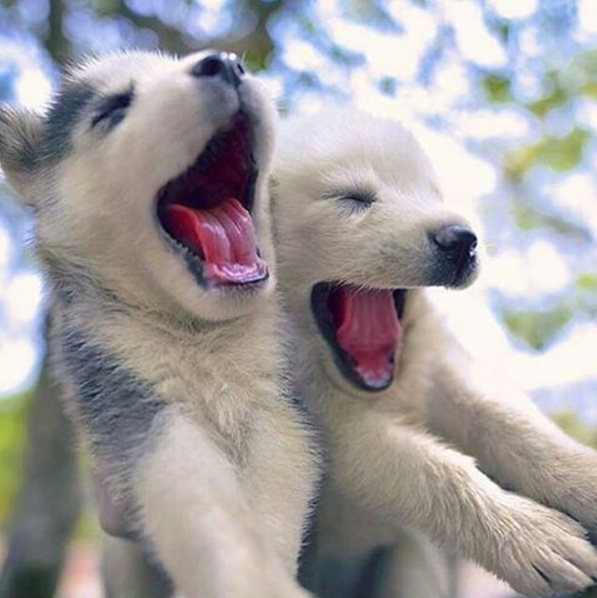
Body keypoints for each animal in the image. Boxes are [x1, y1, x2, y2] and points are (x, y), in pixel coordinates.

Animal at [0, 50, 320, 598]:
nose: (226, 63)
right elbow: (203, 504)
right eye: (113, 108)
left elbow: (275, 491)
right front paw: (246, 575)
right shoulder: (134, 403)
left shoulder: (277, 405)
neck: (199, 333)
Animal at [271, 106, 597, 597]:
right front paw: (536, 539)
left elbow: (499, 414)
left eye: (434, 195)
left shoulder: (431, 359)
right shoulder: (311, 407)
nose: (461, 239)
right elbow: (406, 462)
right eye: (352, 197)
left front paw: (585, 477)